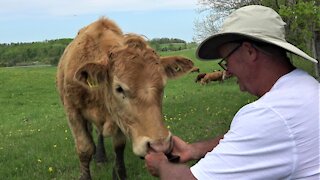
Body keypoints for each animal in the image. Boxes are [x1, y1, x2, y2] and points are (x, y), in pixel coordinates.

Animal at [56, 17, 194, 180]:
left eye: (163, 85)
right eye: (119, 88)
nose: (160, 146)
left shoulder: (120, 118)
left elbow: (119, 146)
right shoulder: (72, 112)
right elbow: (84, 149)